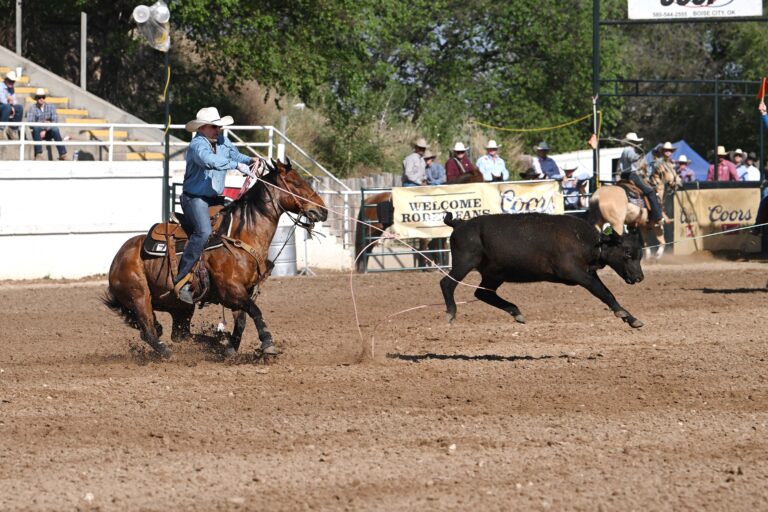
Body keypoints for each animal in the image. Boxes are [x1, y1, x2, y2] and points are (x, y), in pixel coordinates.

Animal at [103, 161, 328, 360]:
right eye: (295, 183)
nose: (323, 210)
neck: (240, 235)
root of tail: (118, 258)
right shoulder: (230, 290)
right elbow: (256, 312)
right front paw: (268, 344)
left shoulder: (244, 292)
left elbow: (242, 321)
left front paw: (229, 349)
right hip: (140, 297)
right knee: (149, 332)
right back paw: (167, 353)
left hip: (180, 305)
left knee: (179, 335)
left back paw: (216, 342)